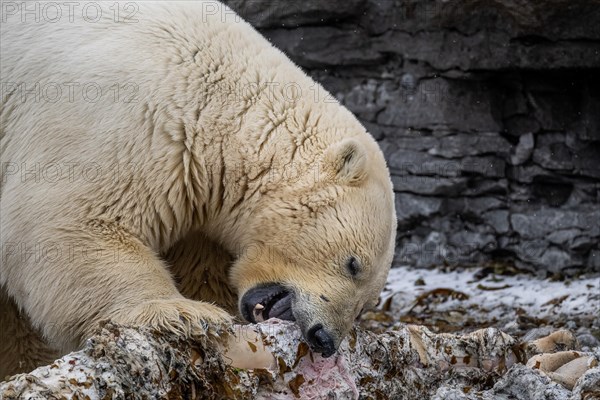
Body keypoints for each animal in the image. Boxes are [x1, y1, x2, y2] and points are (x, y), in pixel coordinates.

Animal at [0, 0, 396, 376]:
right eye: (353, 264)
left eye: (366, 304)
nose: (324, 339)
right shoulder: (131, 121)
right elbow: (73, 222)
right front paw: (179, 313)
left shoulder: (199, 196)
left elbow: (203, 267)